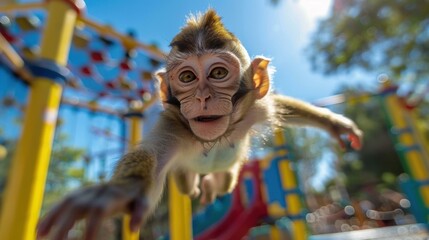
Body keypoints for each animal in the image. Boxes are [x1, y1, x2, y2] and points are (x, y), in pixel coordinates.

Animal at [37, 9, 362, 240]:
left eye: (218, 73)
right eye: (187, 77)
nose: (203, 96)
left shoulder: (256, 108)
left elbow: (281, 105)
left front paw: (334, 123)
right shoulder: (172, 127)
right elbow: (148, 163)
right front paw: (118, 192)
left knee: (226, 179)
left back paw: (213, 183)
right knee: (185, 177)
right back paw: (197, 186)